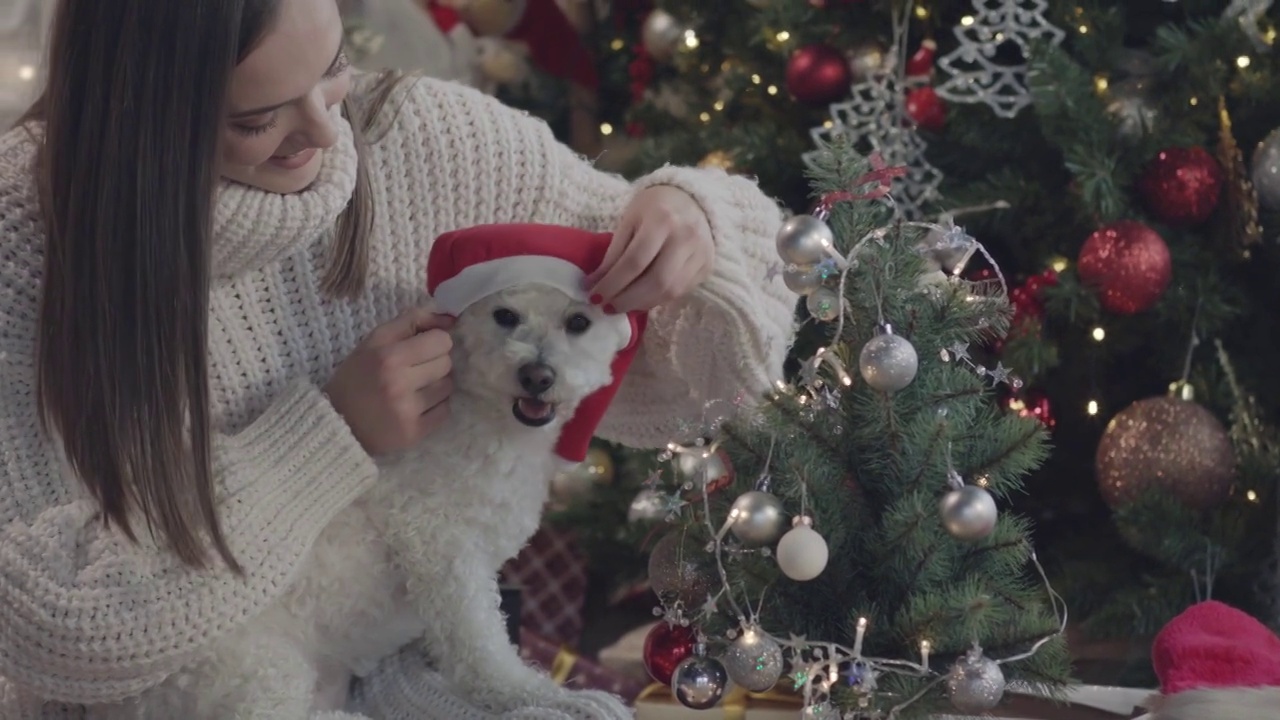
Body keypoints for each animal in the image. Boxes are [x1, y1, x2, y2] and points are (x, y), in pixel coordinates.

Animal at [102, 226, 640, 717]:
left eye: (578, 322)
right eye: (505, 316)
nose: (537, 376)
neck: (484, 420)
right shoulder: (443, 550)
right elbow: (480, 649)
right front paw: (534, 693)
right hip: (257, 669)